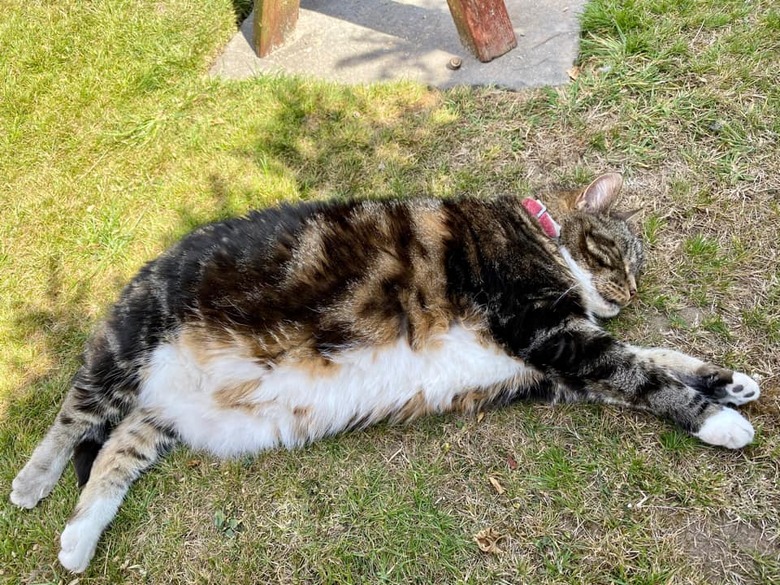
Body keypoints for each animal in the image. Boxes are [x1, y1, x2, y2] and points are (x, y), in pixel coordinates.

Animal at [9, 172, 760, 572]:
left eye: (640, 269)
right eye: (621, 254)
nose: (630, 293)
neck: (542, 238)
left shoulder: (556, 363)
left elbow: (654, 358)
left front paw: (730, 380)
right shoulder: (551, 333)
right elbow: (645, 374)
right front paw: (720, 420)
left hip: (159, 415)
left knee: (116, 449)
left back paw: (78, 538)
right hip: (133, 333)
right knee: (75, 412)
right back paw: (32, 481)